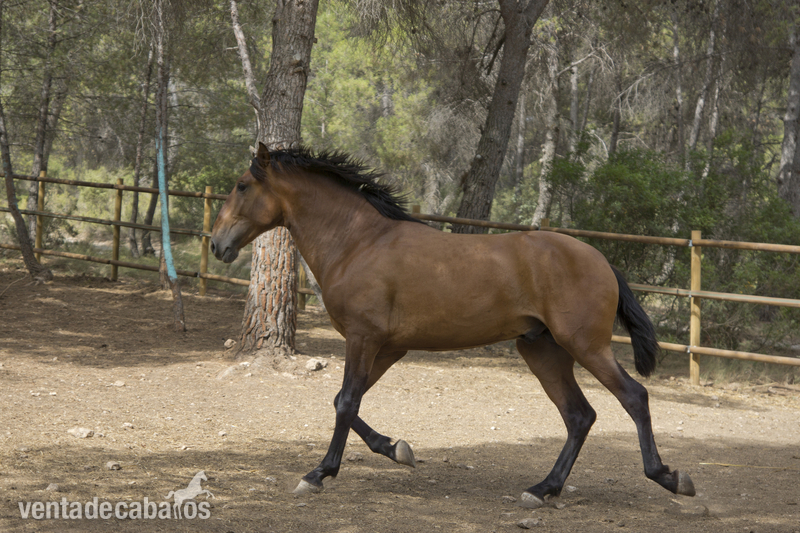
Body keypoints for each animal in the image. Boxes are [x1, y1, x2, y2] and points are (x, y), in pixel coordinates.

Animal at [210, 142, 696, 507]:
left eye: (242, 185)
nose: (217, 244)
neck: (358, 242)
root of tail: (601, 260)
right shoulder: (387, 346)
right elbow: (343, 401)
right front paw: (396, 450)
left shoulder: (364, 339)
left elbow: (346, 402)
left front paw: (318, 473)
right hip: (542, 350)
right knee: (579, 415)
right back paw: (544, 488)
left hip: (585, 346)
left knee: (633, 397)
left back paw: (670, 478)